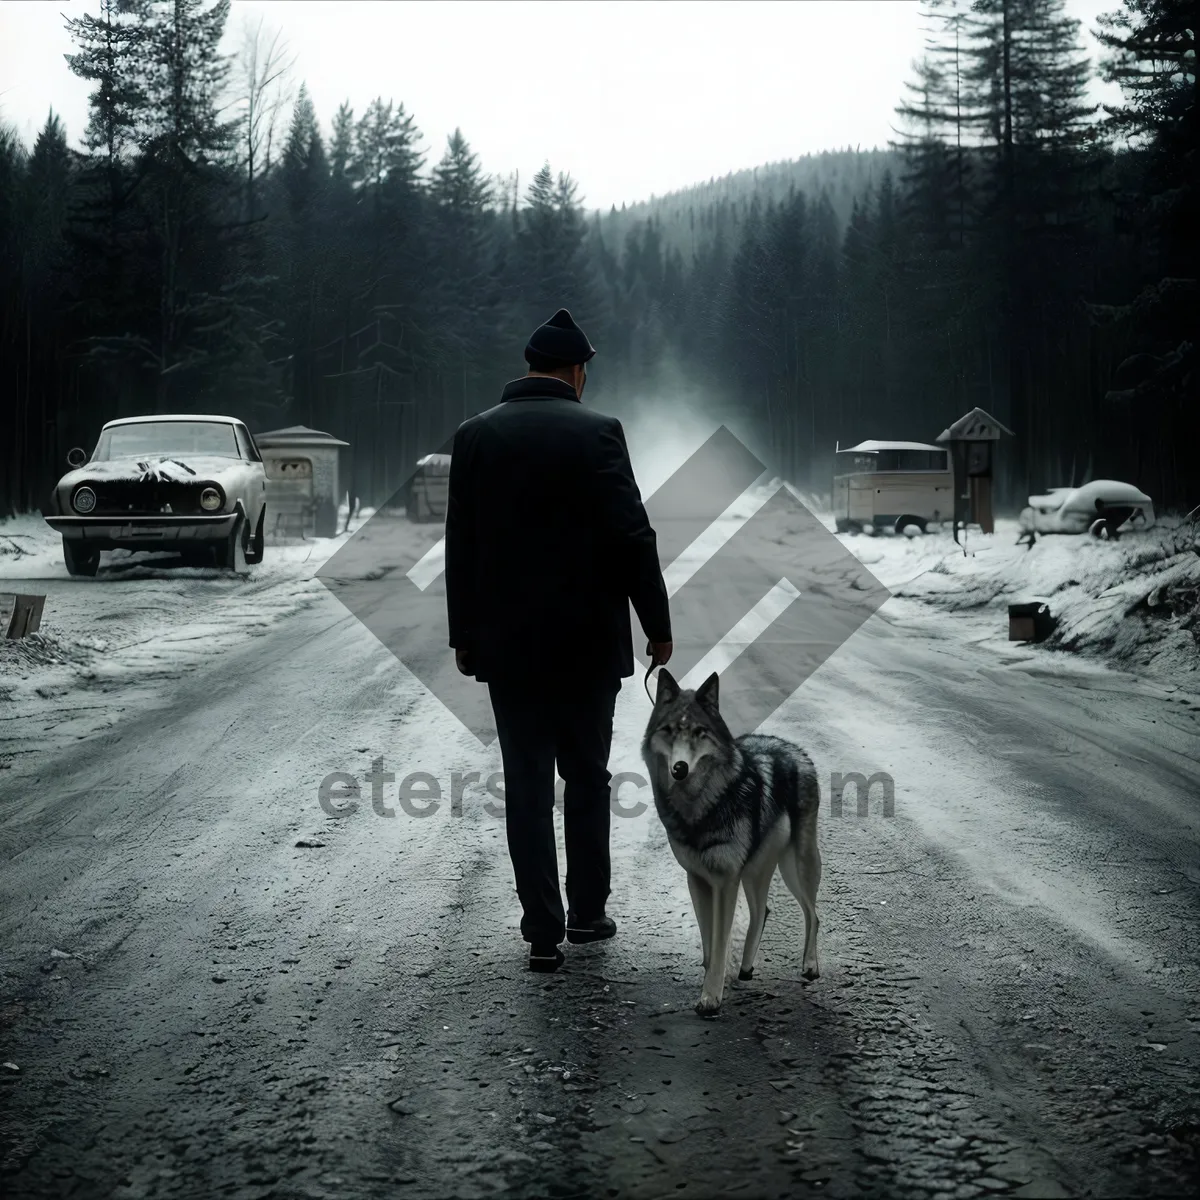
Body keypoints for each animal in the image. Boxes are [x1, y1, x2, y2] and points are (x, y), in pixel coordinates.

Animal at [643, 667, 820, 1012]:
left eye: (699, 732)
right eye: (669, 730)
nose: (679, 768)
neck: (701, 806)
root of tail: (794, 748)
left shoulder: (725, 881)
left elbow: (720, 942)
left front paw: (711, 998)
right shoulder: (697, 879)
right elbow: (709, 943)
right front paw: (712, 985)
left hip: (796, 867)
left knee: (813, 913)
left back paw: (810, 967)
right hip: (755, 871)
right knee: (763, 911)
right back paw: (747, 969)